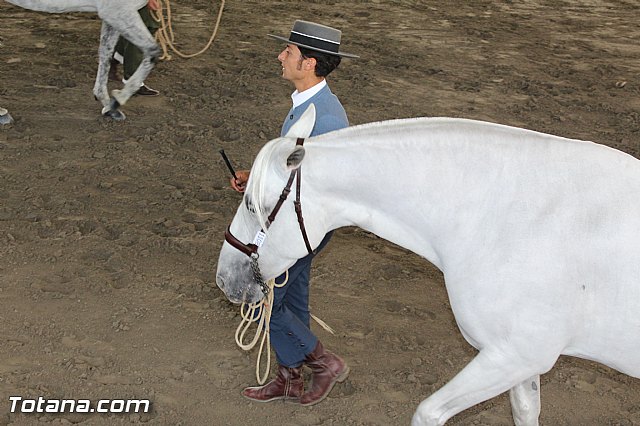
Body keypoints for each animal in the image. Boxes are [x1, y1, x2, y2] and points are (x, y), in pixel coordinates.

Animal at [4, 0, 161, 121]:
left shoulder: (111, 15)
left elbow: (105, 54)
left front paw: (109, 108)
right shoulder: (117, 11)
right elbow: (153, 51)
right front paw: (118, 100)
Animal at [215, 104, 640, 425]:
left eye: (253, 205)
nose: (224, 279)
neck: (508, 214)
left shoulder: (515, 355)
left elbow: (428, 413)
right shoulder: (519, 362)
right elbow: (525, 412)